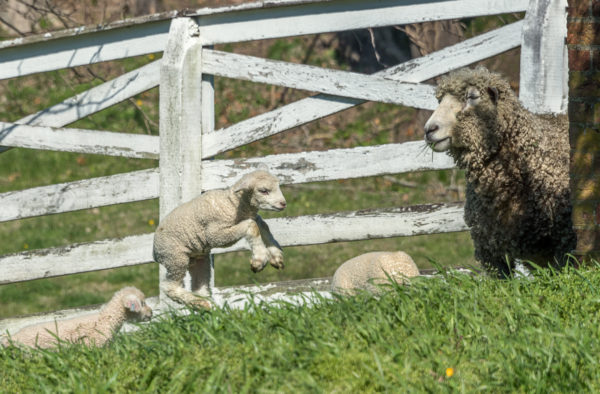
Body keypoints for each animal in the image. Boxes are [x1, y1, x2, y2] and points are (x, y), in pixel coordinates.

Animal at [154, 169, 288, 308]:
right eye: (263, 190)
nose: (283, 204)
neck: (232, 204)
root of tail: (155, 251)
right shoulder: (215, 234)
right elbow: (252, 226)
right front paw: (259, 259)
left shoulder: (248, 217)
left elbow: (262, 225)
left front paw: (276, 255)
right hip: (175, 258)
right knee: (169, 286)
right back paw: (198, 302)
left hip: (199, 259)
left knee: (199, 285)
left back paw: (205, 305)